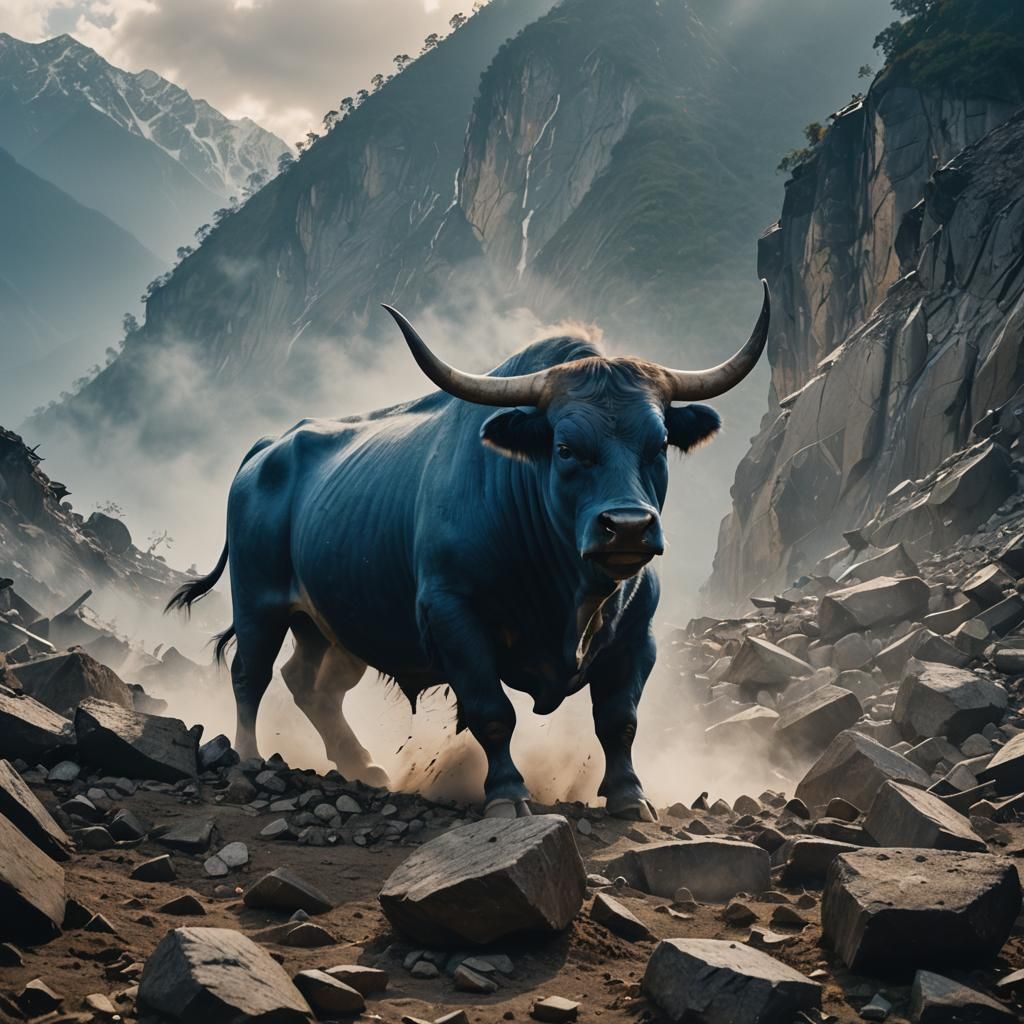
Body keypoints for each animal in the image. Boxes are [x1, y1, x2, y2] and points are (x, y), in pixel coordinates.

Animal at [168, 284, 770, 819]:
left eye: (659, 443)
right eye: (565, 448)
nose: (627, 528)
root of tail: (268, 447)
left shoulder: (636, 632)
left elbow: (619, 718)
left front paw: (629, 796)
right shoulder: (453, 616)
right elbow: (492, 713)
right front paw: (507, 793)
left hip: (327, 624)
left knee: (311, 686)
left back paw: (363, 764)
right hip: (259, 602)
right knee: (250, 674)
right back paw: (248, 758)